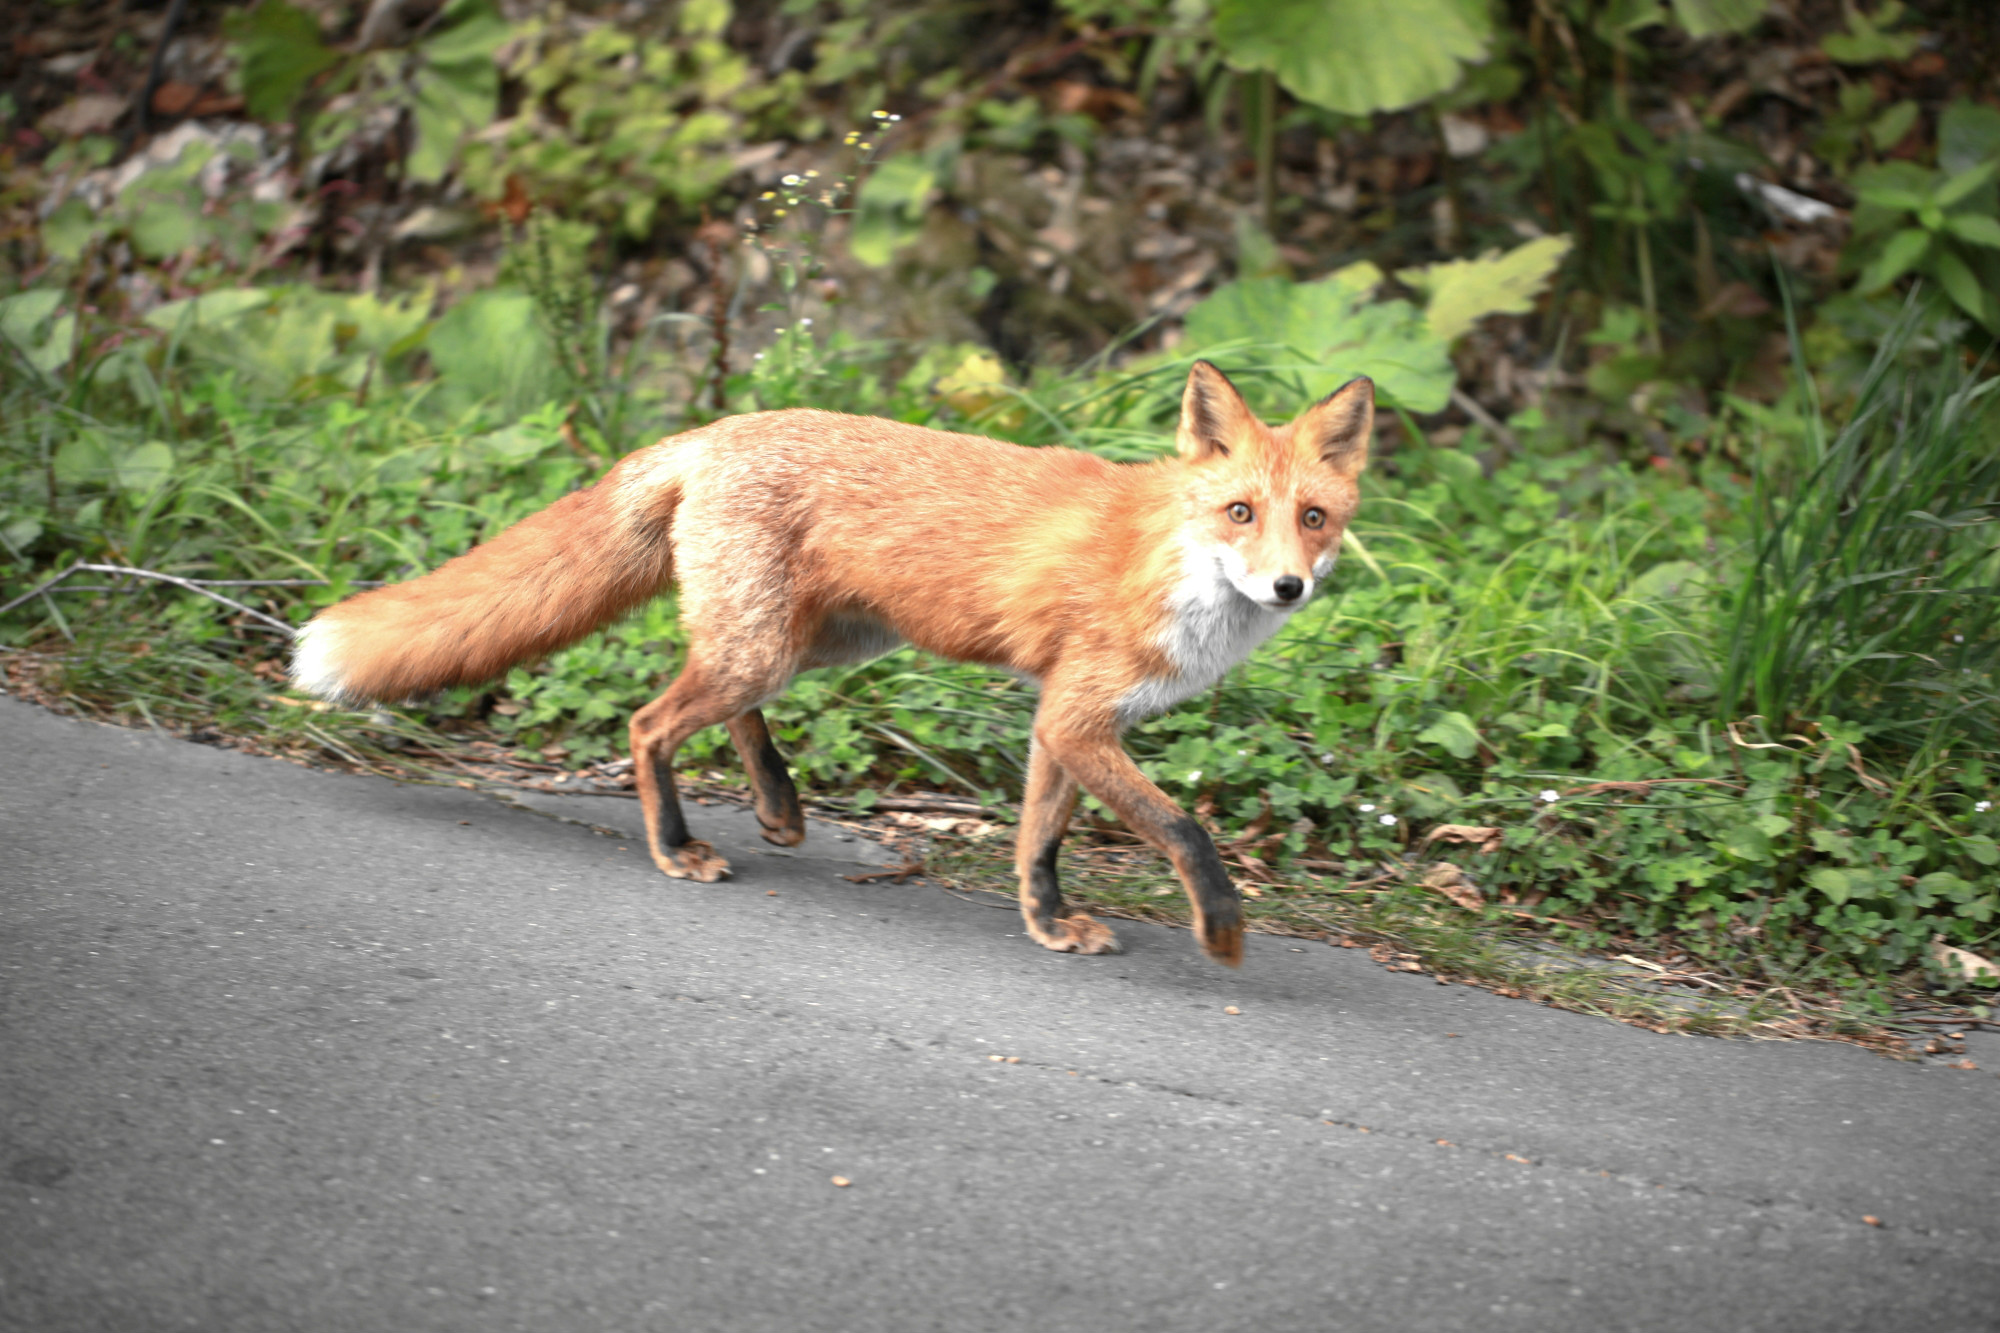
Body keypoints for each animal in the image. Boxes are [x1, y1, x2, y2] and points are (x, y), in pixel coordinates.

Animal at [292, 360, 1360, 964]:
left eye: (1313, 518)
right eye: (1239, 512)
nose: (1285, 588)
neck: (1175, 565)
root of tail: (716, 429)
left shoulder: (1064, 720)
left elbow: (1038, 845)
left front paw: (1048, 924)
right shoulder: (1076, 715)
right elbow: (1185, 827)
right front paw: (1219, 926)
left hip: (814, 642)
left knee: (719, 705)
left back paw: (777, 801)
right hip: (771, 646)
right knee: (648, 722)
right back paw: (678, 845)